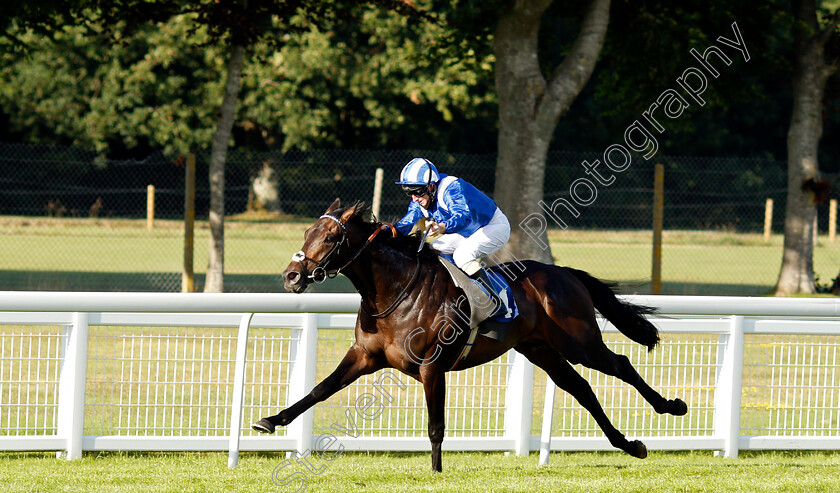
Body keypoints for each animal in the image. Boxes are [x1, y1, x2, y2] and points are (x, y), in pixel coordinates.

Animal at [253, 198, 684, 470]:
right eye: (306, 232)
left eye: (329, 238)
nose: (291, 277)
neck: (396, 290)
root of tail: (565, 274)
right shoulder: (365, 356)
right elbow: (319, 390)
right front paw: (271, 421)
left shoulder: (432, 367)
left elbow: (435, 425)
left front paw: (436, 471)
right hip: (541, 349)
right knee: (581, 388)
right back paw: (630, 445)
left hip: (579, 342)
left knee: (621, 364)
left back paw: (671, 407)